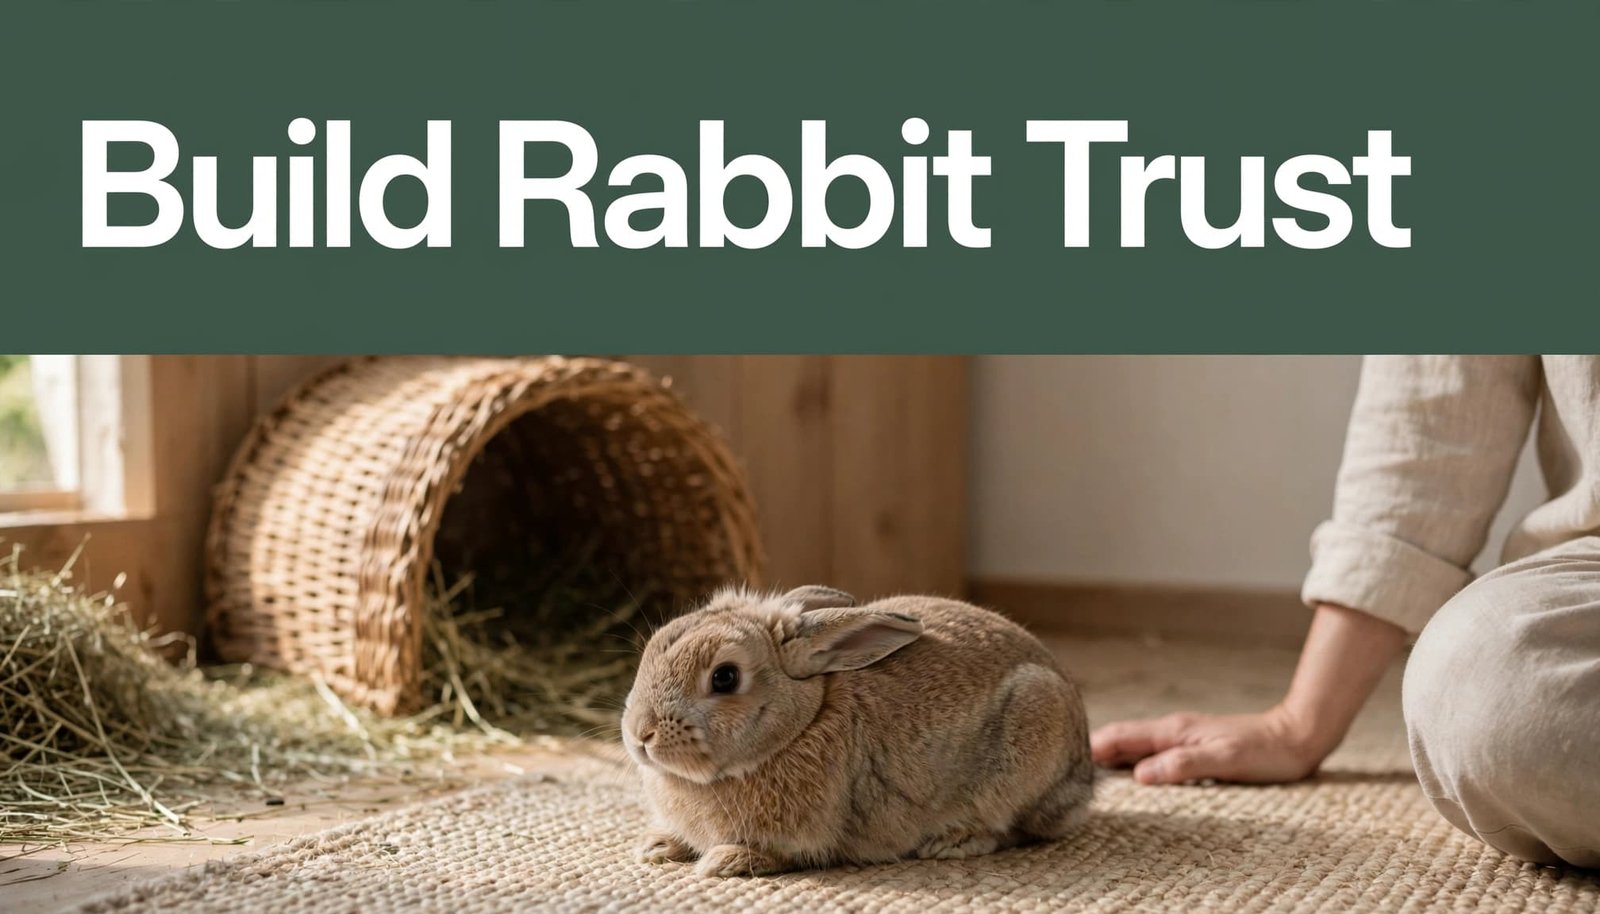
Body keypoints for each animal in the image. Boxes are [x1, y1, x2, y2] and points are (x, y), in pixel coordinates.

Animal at [621, 584, 1094, 878]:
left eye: (725, 677)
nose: (640, 734)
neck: (803, 723)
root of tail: (1084, 776)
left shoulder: (802, 838)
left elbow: (777, 854)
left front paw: (724, 862)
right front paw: (657, 847)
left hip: (1028, 741)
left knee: (1017, 827)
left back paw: (953, 842)